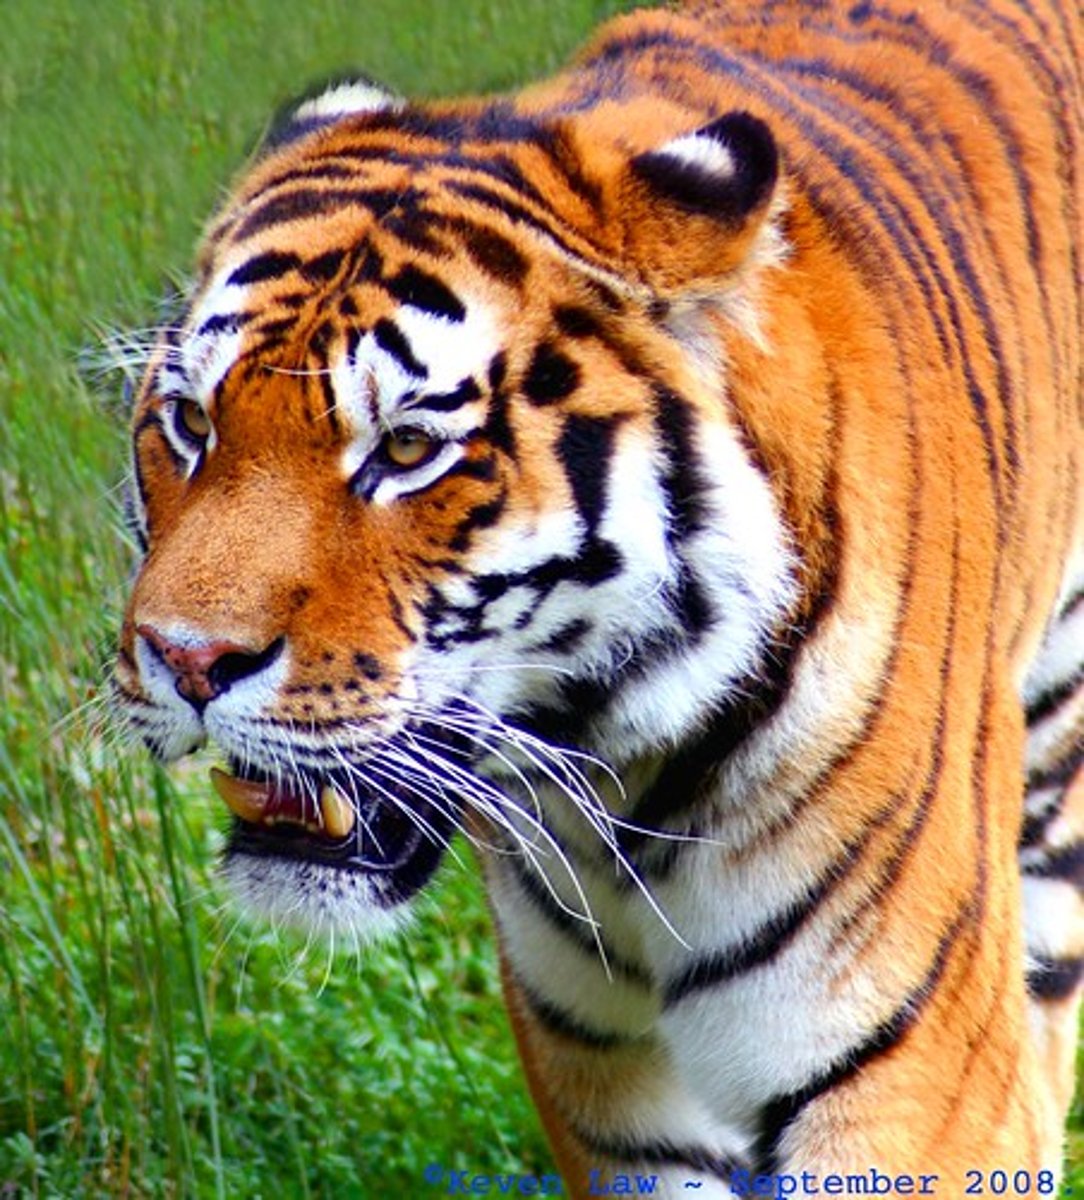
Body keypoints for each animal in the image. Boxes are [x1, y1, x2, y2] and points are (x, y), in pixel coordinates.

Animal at [111, 0, 1083, 1194]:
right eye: (192, 422)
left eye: (407, 450)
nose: (184, 659)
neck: (618, 792)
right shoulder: (617, 1097)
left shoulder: (909, 1081)